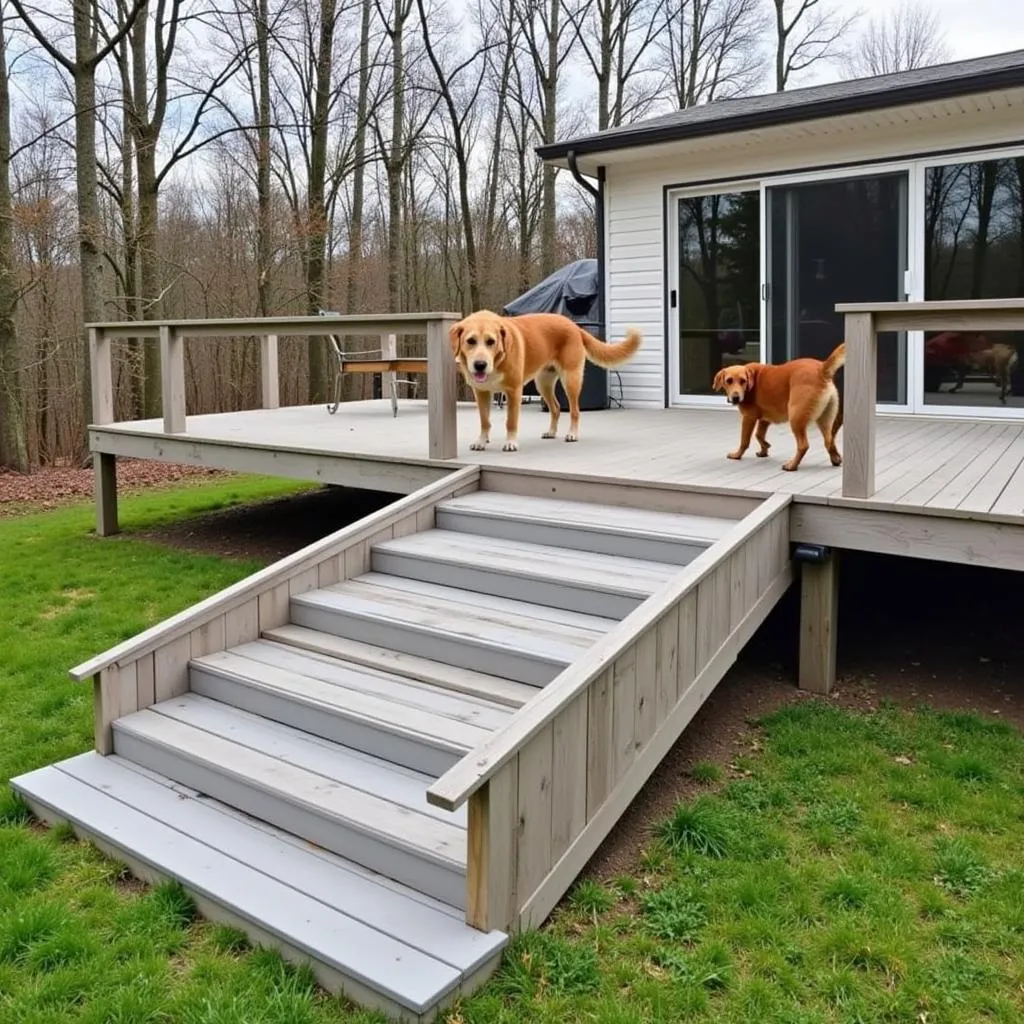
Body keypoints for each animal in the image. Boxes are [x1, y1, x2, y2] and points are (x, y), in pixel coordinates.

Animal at [448, 309, 638, 450]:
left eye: (491, 341)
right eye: (471, 341)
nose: (480, 365)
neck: (497, 360)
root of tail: (574, 326)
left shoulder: (514, 391)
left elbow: (511, 421)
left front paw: (511, 442)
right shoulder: (481, 392)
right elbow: (484, 421)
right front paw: (481, 441)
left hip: (571, 379)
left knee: (575, 411)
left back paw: (572, 434)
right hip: (543, 383)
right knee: (556, 408)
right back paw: (551, 432)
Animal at [712, 344, 847, 471]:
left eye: (743, 381)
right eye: (729, 381)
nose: (735, 398)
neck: (751, 380)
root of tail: (821, 368)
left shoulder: (748, 418)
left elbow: (745, 440)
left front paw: (737, 455)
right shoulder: (764, 419)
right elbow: (759, 435)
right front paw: (764, 449)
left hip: (796, 418)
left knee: (804, 445)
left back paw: (792, 465)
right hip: (825, 420)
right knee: (829, 441)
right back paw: (835, 459)